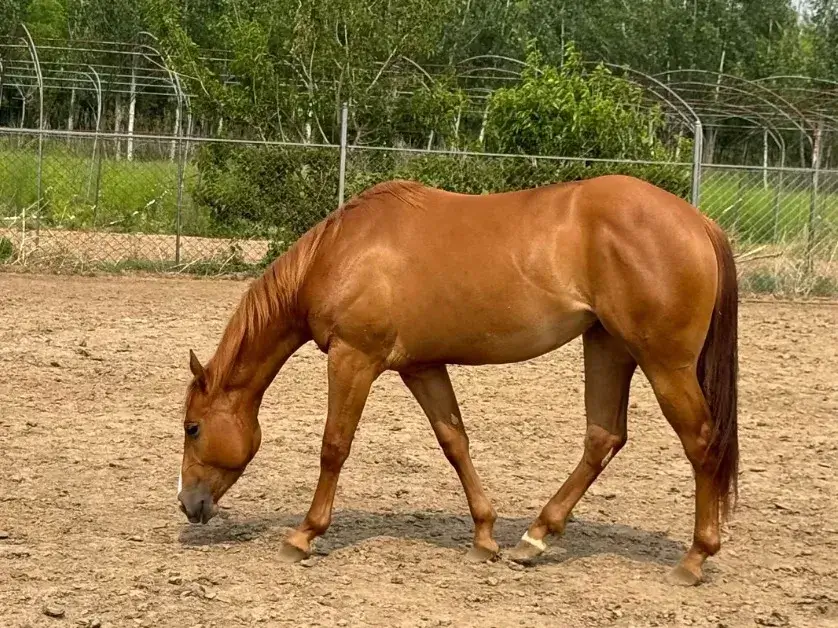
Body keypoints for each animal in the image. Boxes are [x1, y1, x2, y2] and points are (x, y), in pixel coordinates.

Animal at [177, 174, 738, 586]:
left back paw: (695, 559)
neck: (341, 252)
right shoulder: (420, 367)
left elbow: (334, 446)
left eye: (192, 428)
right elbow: (455, 442)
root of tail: (698, 222)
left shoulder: (353, 359)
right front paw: (484, 537)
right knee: (604, 437)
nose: (188, 505)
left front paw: (303, 536)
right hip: (607, 346)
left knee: (701, 442)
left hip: (663, 364)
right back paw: (534, 539)